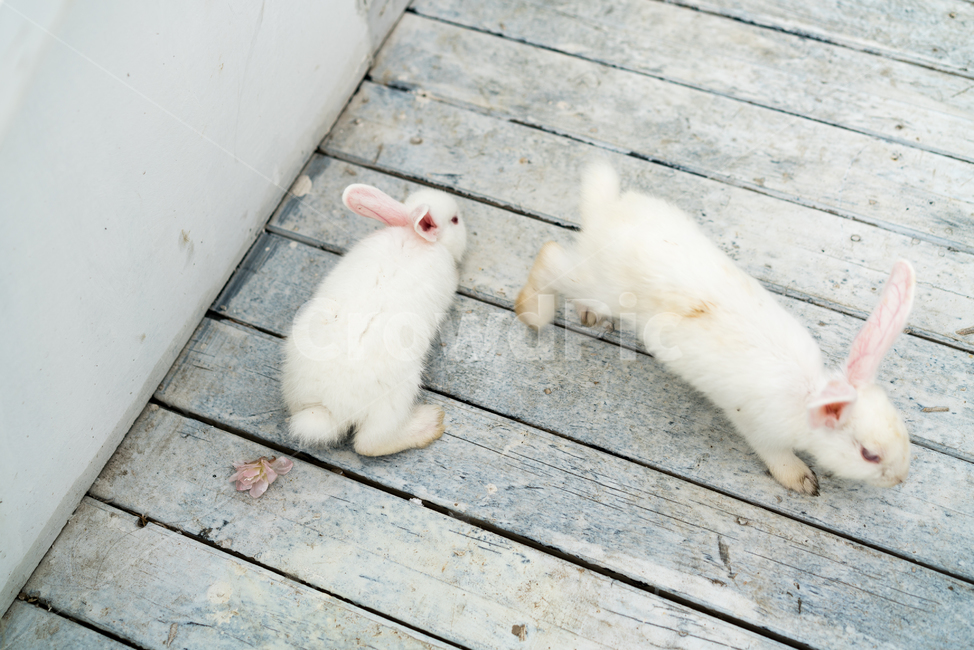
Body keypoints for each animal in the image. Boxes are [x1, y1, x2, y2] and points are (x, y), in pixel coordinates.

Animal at [282, 183, 466, 456]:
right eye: (455, 219)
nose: (462, 219)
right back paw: (429, 424)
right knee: (370, 443)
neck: (414, 237)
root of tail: (328, 408)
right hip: (397, 394)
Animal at [516, 161, 914, 495]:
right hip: (603, 285)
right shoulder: (759, 429)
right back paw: (531, 312)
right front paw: (802, 481)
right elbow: (777, 457)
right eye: (869, 454)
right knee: (552, 256)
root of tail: (606, 209)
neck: (806, 396)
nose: (899, 479)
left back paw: (587, 315)